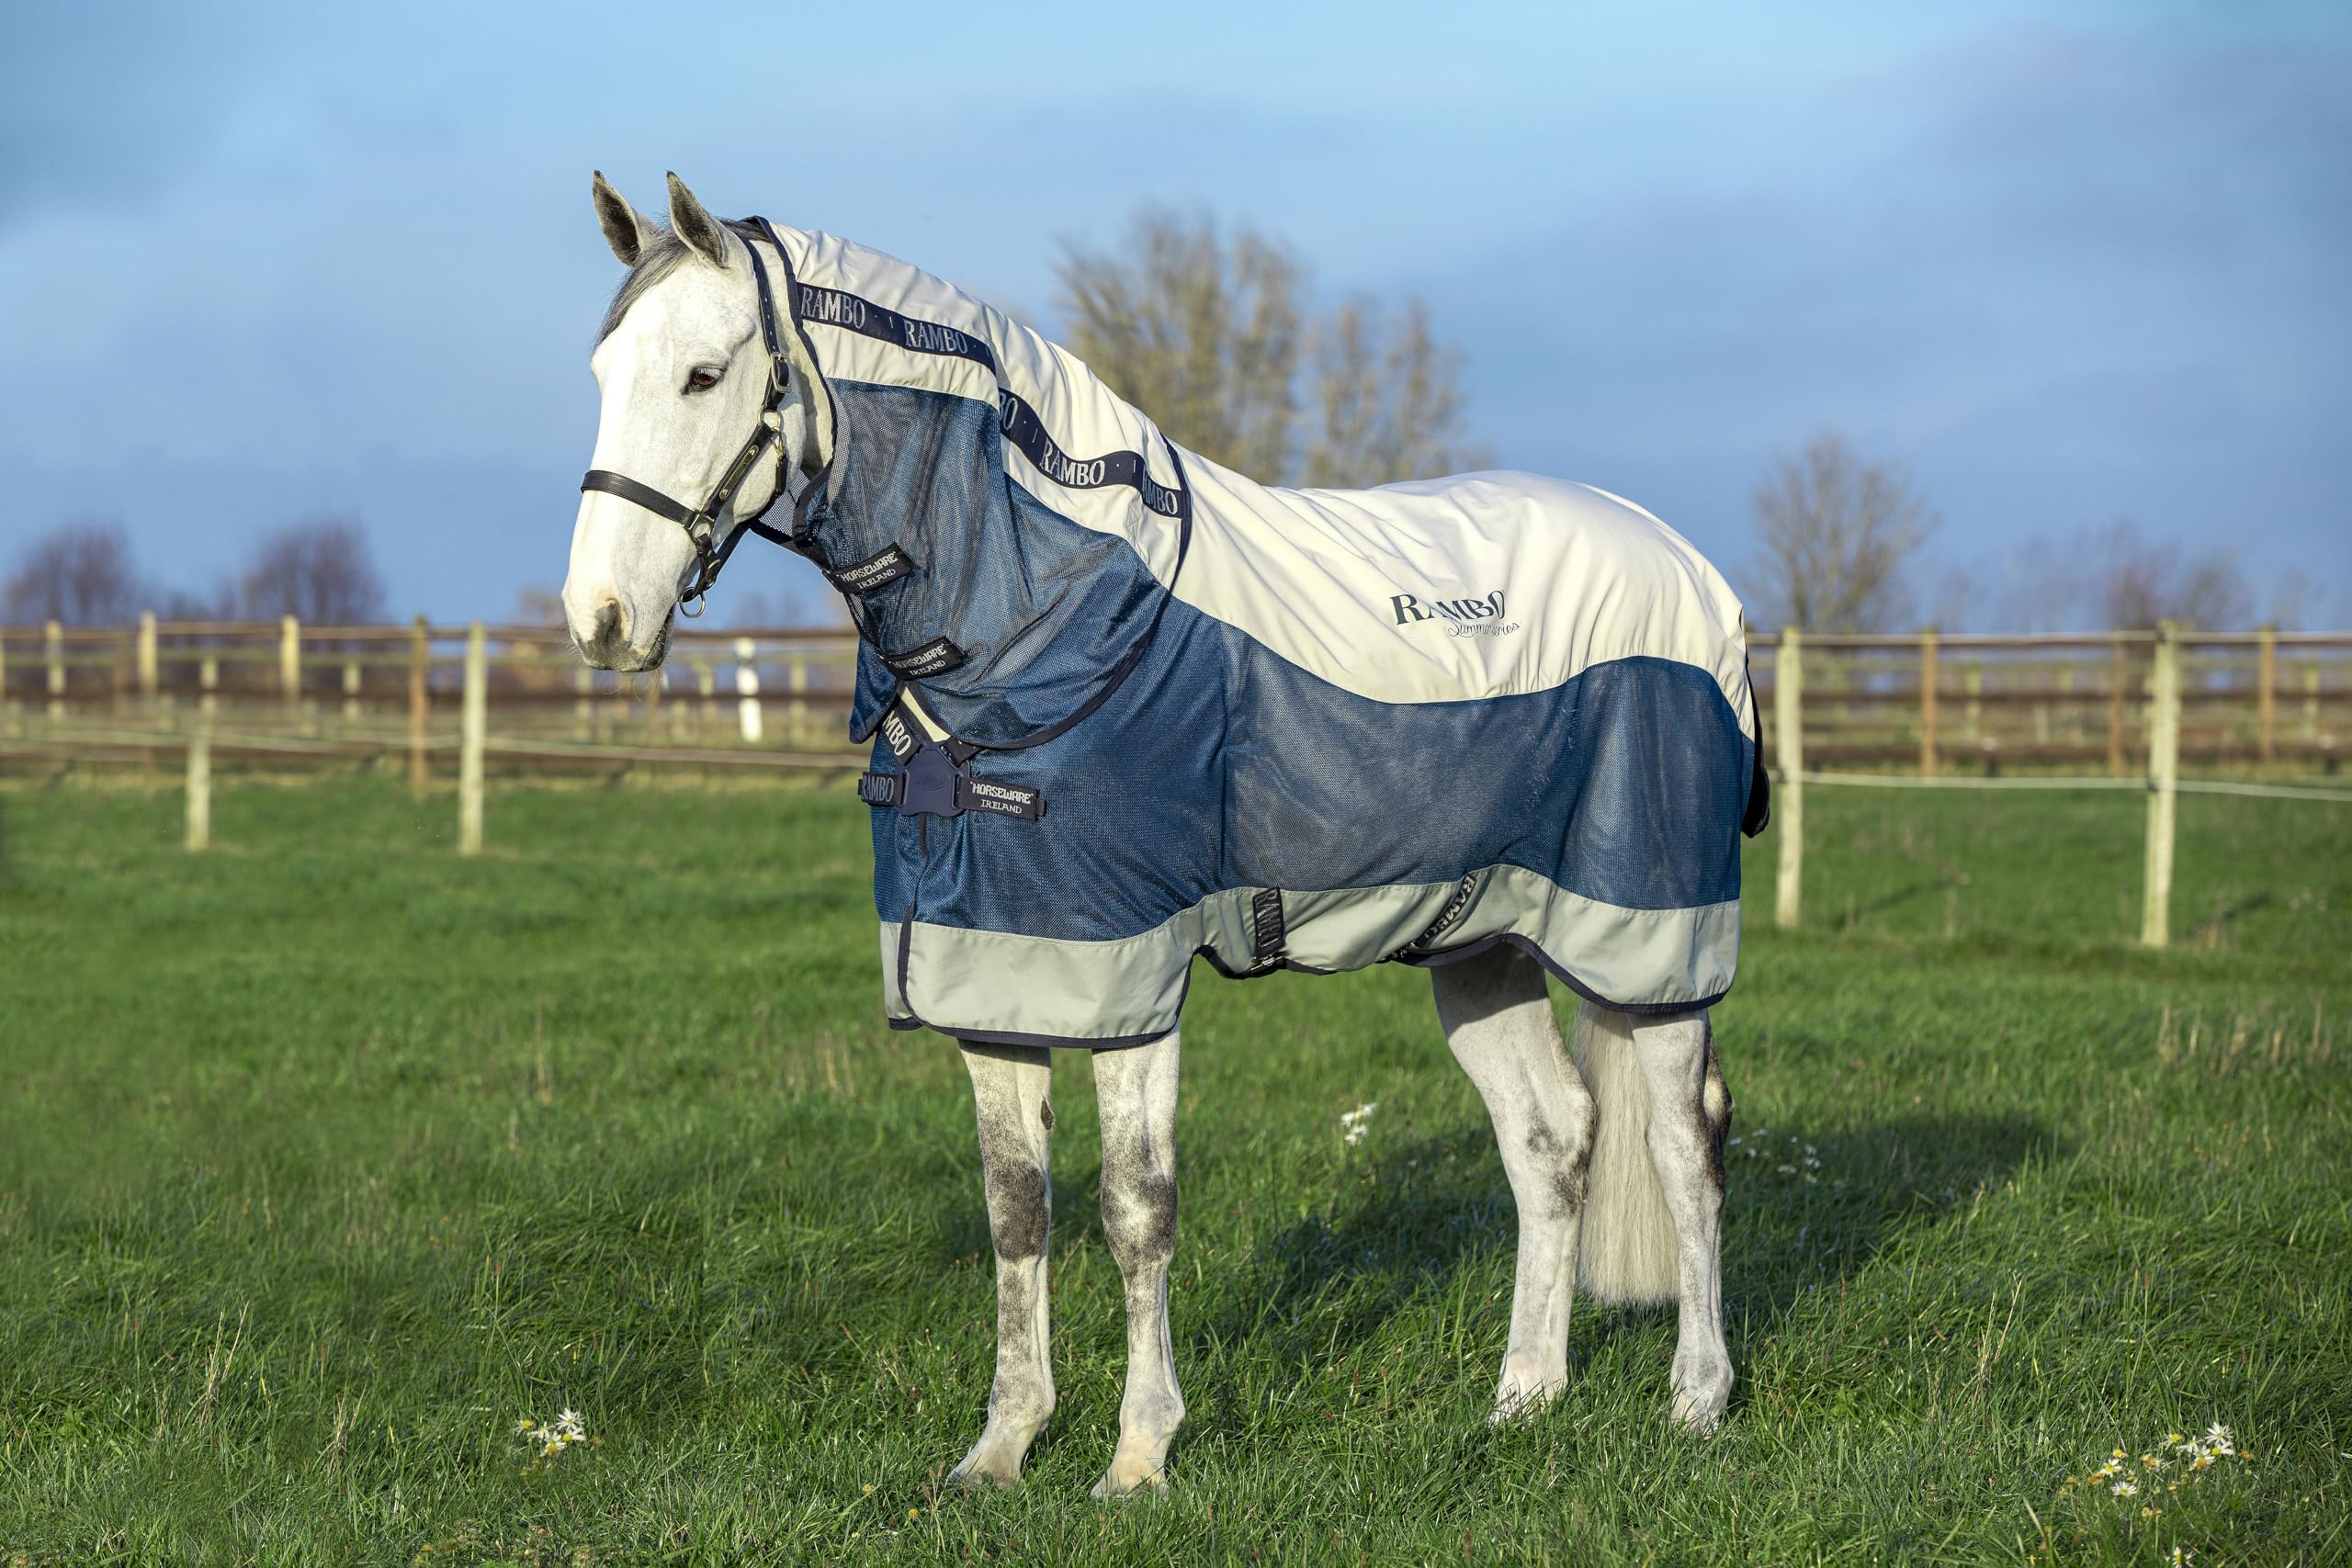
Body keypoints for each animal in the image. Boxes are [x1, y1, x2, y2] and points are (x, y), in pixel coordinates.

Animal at [560, 173, 1762, 1498]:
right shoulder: (998, 972)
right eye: (604, 369)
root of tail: (1694, 574)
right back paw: (1522, 1398)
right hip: (1479, 940)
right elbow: (1016, 1209)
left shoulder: (1128, 975)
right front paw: (1002, 1445)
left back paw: (1698, 1399)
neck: (1047, 623)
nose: (598, 621)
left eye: (703, 376)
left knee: (1684, 1142)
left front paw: (1139, 1455)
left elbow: (1137, 1209)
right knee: (1550, 1141)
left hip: (1647, 933)